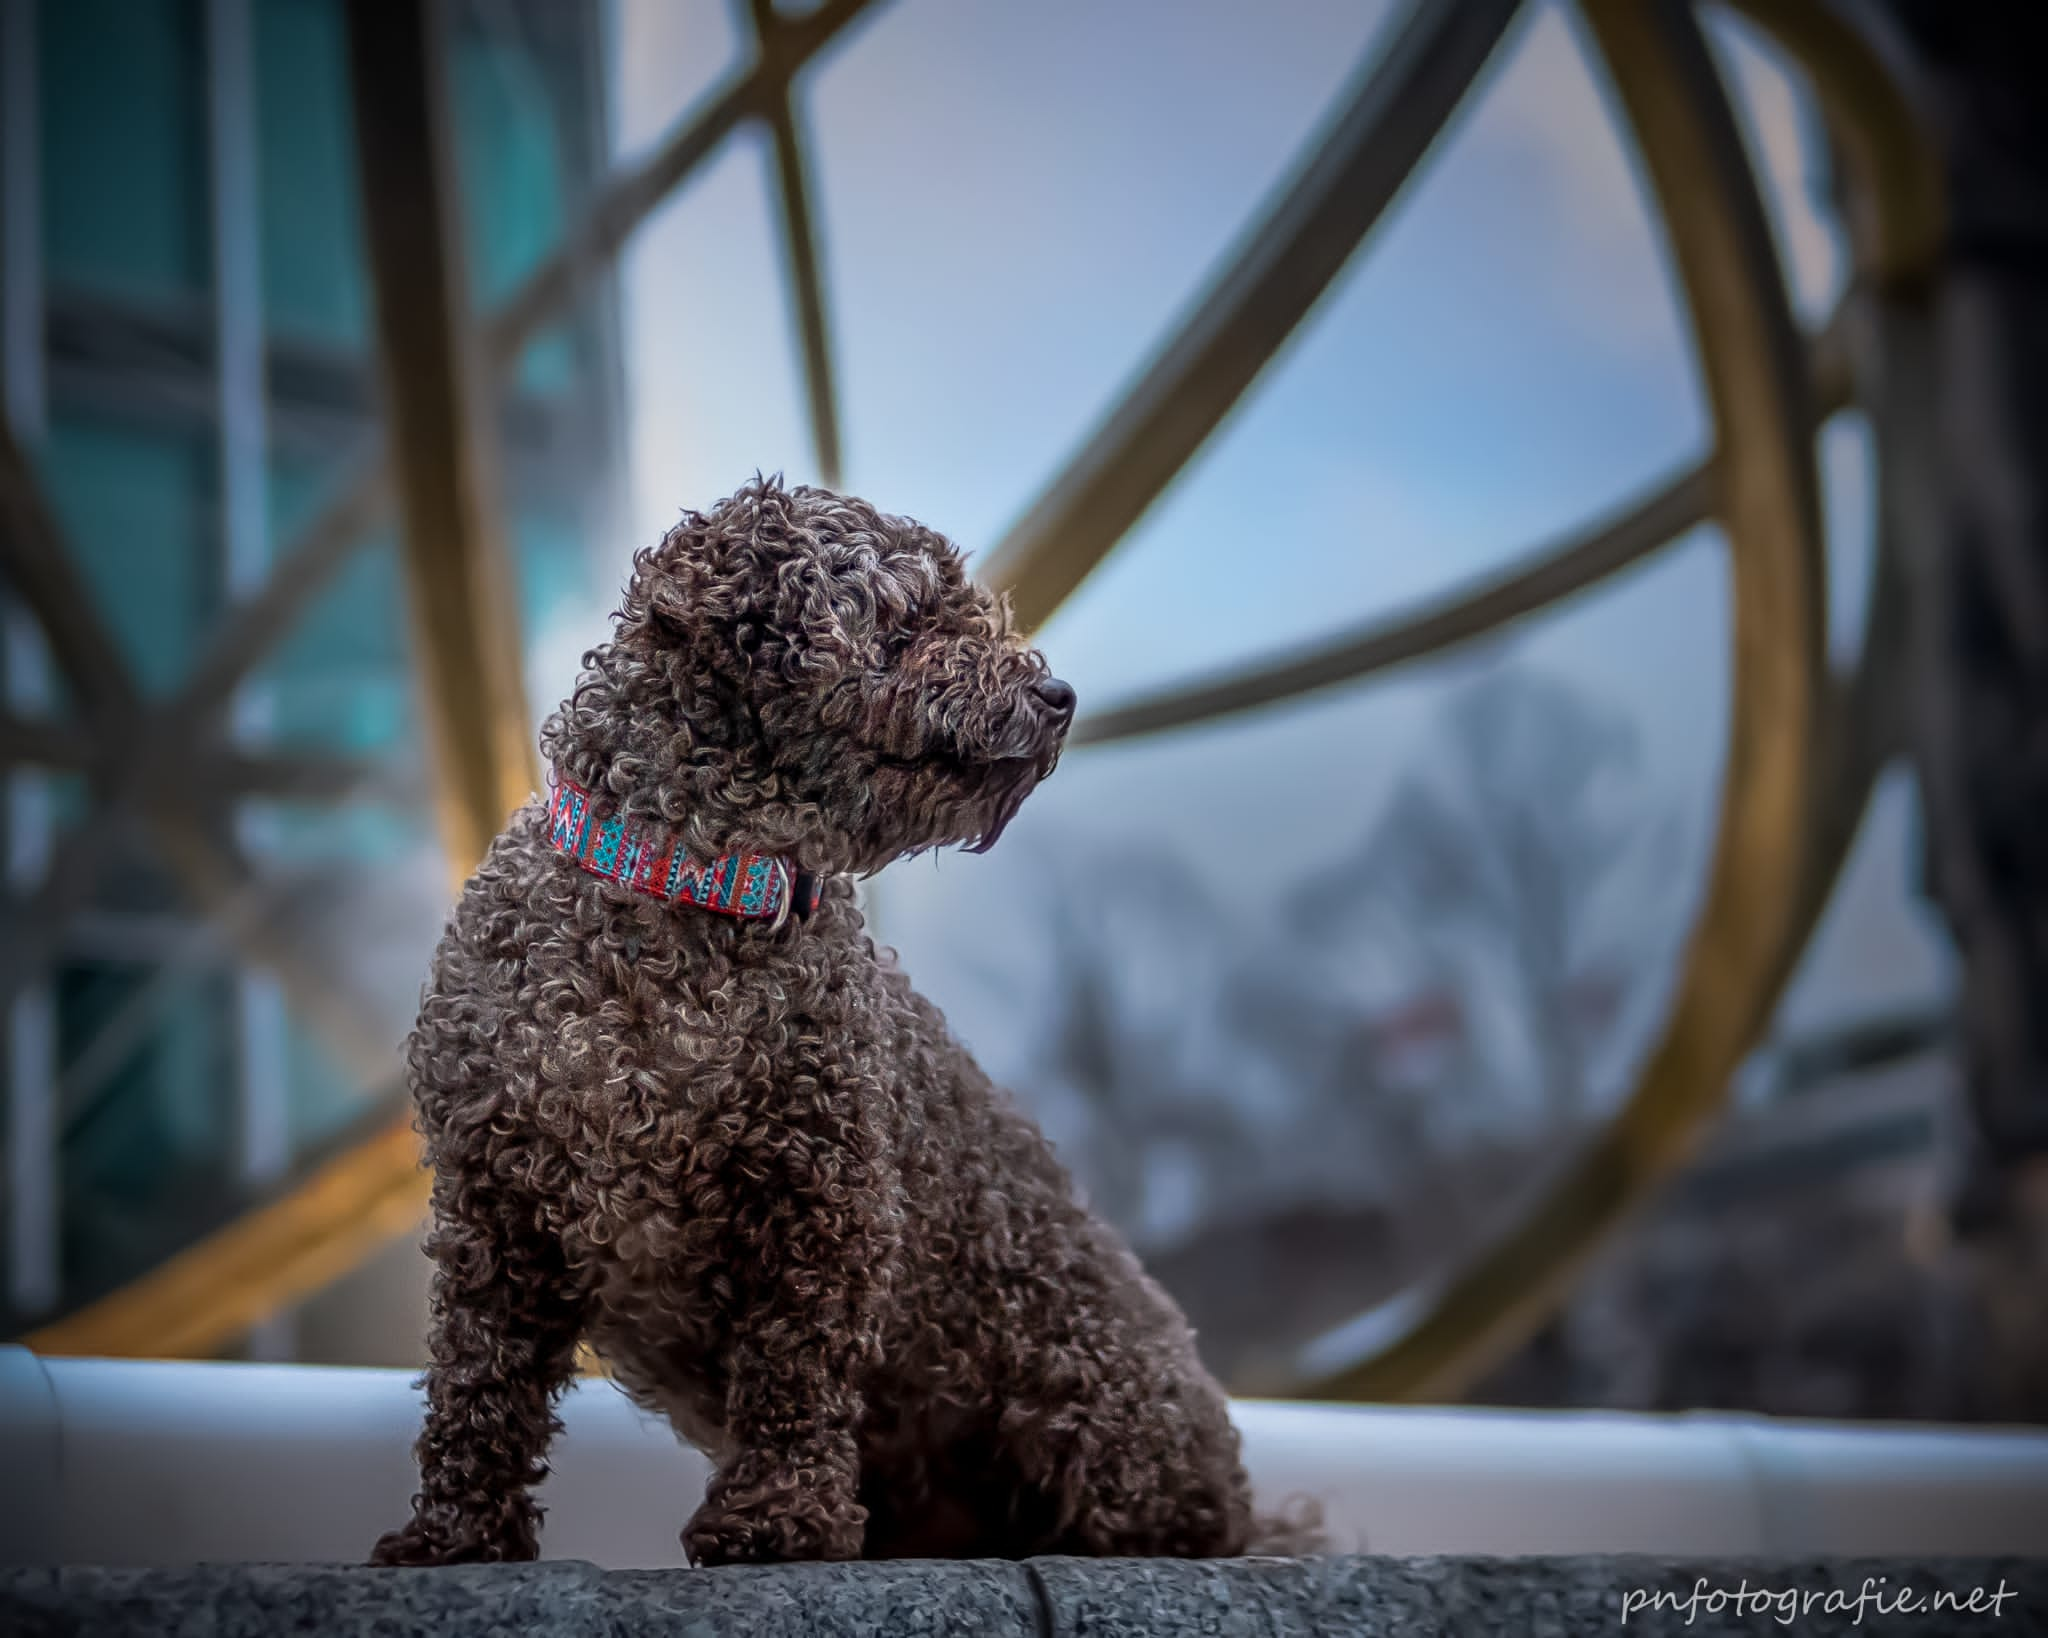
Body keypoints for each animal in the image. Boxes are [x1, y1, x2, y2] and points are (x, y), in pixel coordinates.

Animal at [376, 472, 1286, 1564]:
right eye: (907, 618)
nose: (1058, 696)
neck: (689, 904)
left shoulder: (820, 1197)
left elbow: (793, 1378)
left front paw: (777, 1520)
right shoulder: (495, 1210)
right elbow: (482, 1388)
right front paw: (453, 1534)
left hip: (1096, 1421)